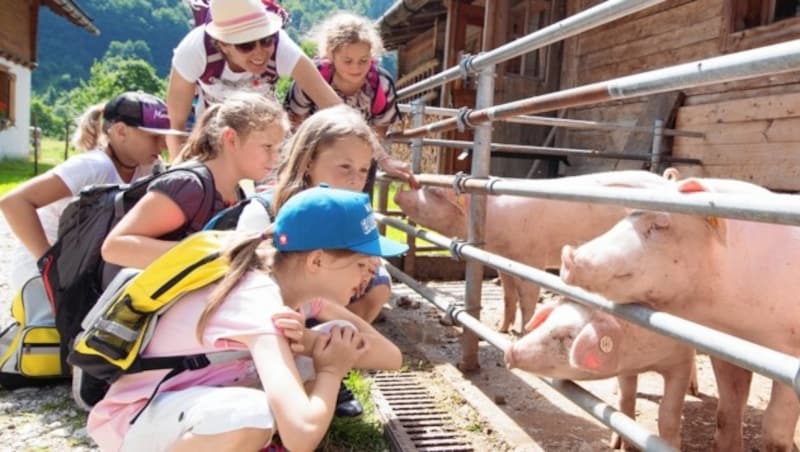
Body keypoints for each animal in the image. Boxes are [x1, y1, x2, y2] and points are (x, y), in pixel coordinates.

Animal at [394, 170, 676, 332]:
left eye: (433, 191)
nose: (398, 193)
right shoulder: (501, 259)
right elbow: (508, 295)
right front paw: (501, 329)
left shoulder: (531, 258)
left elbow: (527, 297)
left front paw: (523, 332)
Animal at [506, 298, 700, 450]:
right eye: (546, 323)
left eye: (567, 336)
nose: (509, 351)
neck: (644, 362)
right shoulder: (626, 370)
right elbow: (625, 399)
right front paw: (619, 446)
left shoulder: (681, 362)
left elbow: (669, 412)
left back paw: (694, 390)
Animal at [560, 177, 800, 452]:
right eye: (625, 218)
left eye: (659, 225)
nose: (568, 255)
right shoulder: (727, 347)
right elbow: (727, 411)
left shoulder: (790, 352)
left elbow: (774, 429)